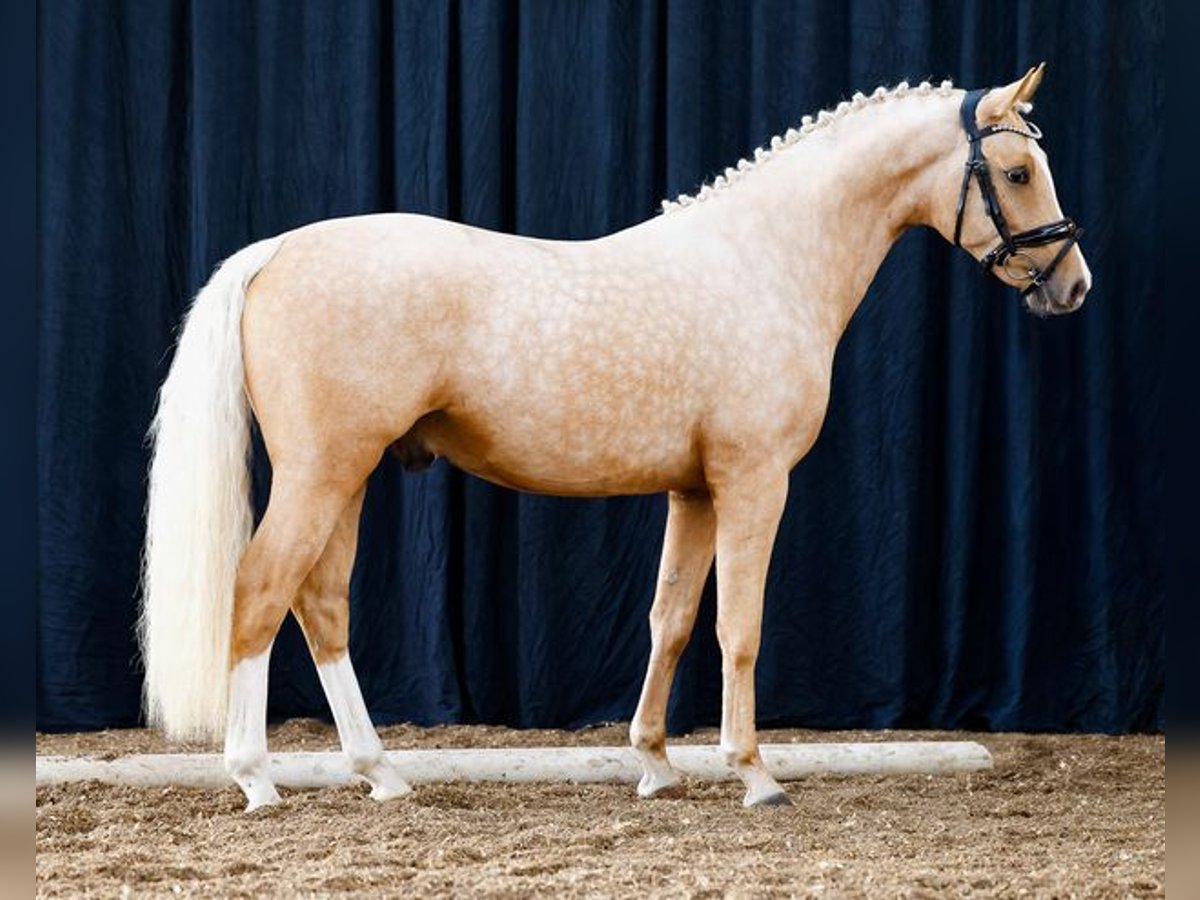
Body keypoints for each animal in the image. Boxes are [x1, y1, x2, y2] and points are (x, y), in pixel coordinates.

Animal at [138, 65, 1089, 811]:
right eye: (1016, 170)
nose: (1072, 285)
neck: (763, 261)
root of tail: (275, 251)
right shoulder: (754, 482)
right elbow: (738, 626)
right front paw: (754, 774)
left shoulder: (695, 489)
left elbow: (670, 619)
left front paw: (656, 764)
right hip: (323, 473)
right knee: (260, 591)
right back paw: (257, 778)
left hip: (348, 475)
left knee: (322, 605)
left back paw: (381, 774)